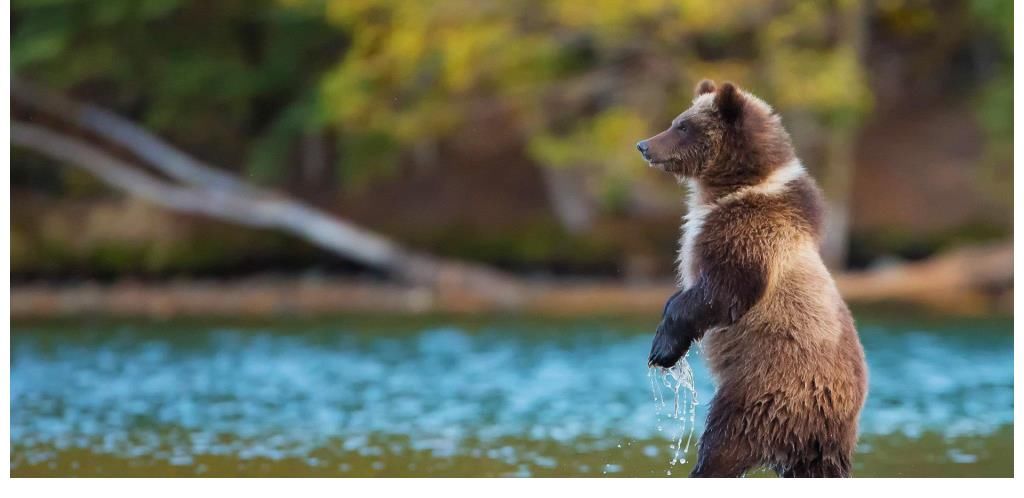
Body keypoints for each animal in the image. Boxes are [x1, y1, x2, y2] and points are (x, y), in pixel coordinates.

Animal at [638, 79, 864, 477]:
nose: (645, 145)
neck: (734, 188)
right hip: (823, 442)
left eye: (682, 126)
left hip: (764, 388)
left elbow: (722, 291)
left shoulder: (750, 235)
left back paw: (702, 468)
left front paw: (663, 349)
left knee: (724, 443)